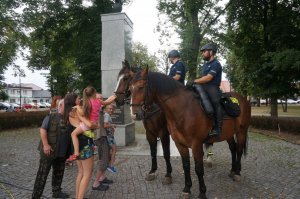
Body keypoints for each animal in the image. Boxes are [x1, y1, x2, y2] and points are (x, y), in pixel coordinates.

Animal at [130, 68, 252, 199]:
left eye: (141, 87)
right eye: (130, 89)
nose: (134, 114)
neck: (183, 109)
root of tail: (244, 99)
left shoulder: (196, 144)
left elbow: (198, 169)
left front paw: (202, 192)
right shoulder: (179, 144)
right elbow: (186, 165)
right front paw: (187, 189)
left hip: (241, 132)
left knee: (239, 150)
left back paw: (237, 173)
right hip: (228, 134)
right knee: (233, 149)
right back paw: (233, 170)